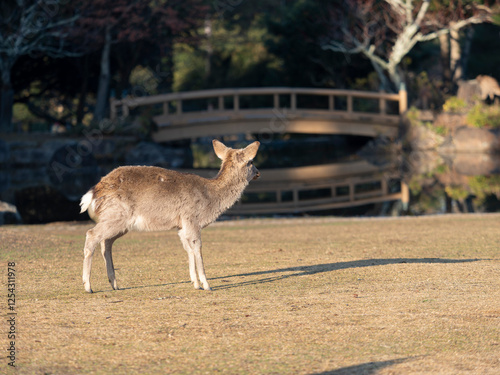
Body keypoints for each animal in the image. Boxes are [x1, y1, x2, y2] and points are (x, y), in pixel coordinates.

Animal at [79, 140, 260, 292]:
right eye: (251, 162)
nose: (258, 173)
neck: (210, 200)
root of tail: (95, 191)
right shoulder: (191, 218)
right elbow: (197, 248)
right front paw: (206, 285)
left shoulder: (181, 226)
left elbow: (188, 249)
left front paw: (195, 283)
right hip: (117, 215)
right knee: (92, 234)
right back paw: (88, 286)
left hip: (119, 222)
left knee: (106, 243)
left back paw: (114, 284)